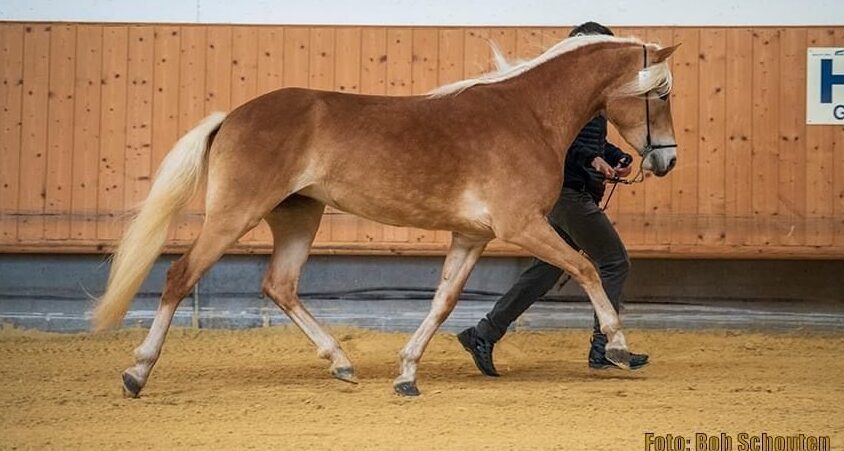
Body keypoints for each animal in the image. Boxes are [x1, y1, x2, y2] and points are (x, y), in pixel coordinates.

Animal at [94, 33, 680, 398]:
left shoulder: (472, 236)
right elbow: (584, 267)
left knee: (279, 285)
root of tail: (233, 116)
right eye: (662, 92)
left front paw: (406, 374)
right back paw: (137, 373)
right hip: (234, 214)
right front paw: (620, 348)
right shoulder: (522, 227)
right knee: (179, 275)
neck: (528, 115)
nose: (666, 160)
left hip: (298, 217)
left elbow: (443, 302)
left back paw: (341, 363)